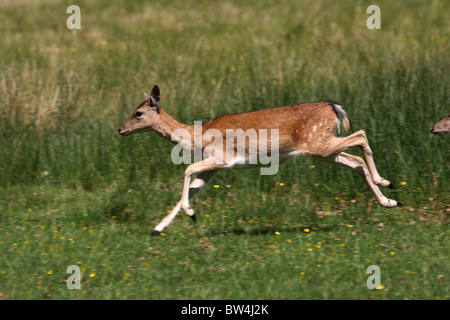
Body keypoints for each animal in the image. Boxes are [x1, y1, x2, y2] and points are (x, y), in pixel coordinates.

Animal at [117, 84, 400, 235]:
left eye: (138, 112)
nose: (120, 129)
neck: (196, 137)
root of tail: (333, 106)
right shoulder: (213, 169)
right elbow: (193, 187)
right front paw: (158, 228)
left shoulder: (221, 158)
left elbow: (187, 170)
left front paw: (190, 213)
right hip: (324, 150)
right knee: (355, 161)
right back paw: (389, 200)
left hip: (319, 143)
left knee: (361, 135)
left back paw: (386, 183)